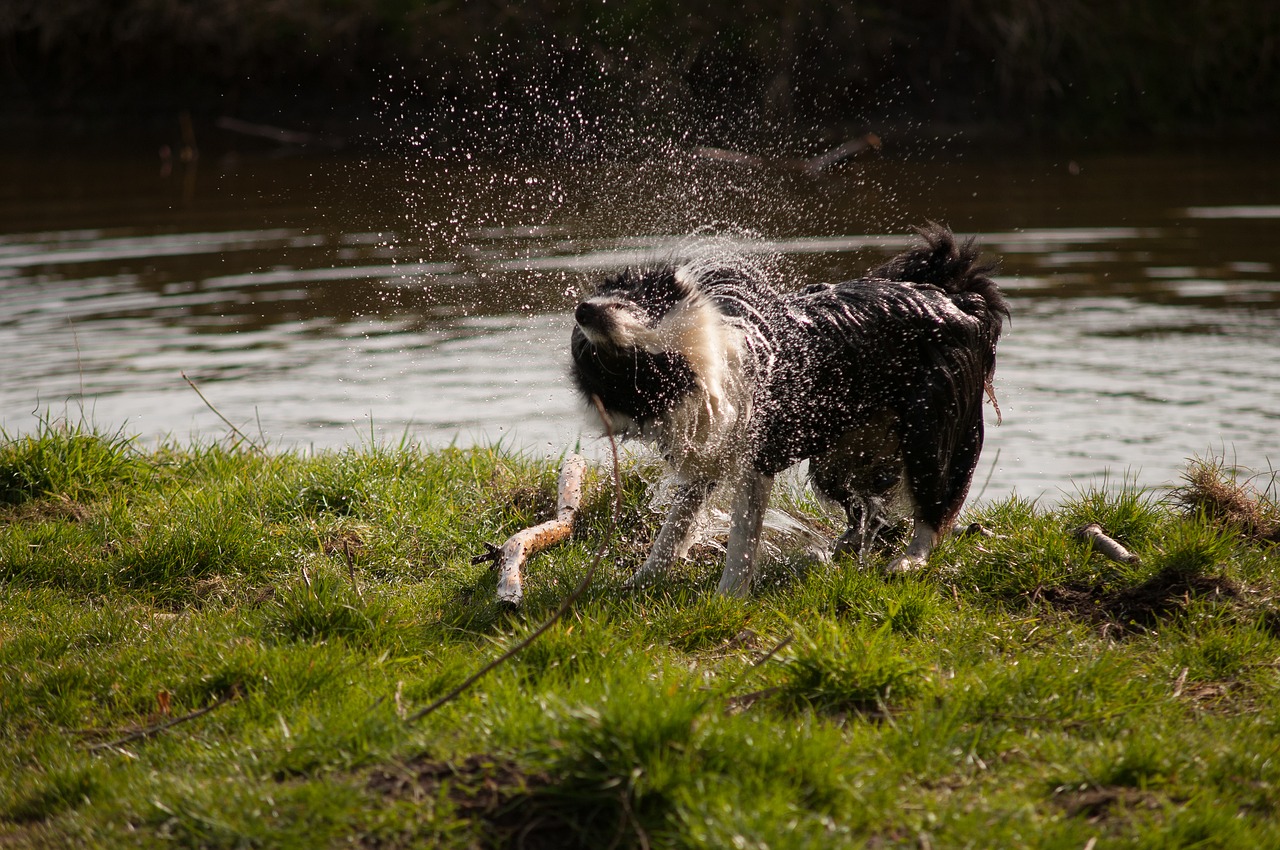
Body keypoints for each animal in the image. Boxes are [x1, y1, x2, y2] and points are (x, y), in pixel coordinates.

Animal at [573, 225, 1008, 596]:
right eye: (602, 364)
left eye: (624, 305)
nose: (582, 310)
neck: (696, 361)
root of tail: (956, 296)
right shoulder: (710, 452)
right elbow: (677, 522)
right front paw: (642, 579)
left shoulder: (756, 454)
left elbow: (742, 535)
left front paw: (729, 596)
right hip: (839, 457)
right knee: (866, 507)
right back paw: (845, 546)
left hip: (928, 425)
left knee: (935, 503)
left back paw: (909, 560)